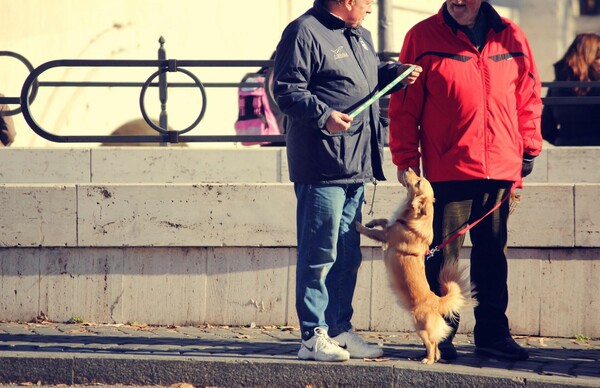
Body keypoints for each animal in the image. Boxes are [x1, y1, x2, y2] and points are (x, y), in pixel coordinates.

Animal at [354, 167, 476, 364]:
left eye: (418, 182)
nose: (409, 168)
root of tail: (436, 300)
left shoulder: (386, 237)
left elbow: (372, 232)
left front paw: (358, 225)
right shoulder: (389, 226)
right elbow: (383, 220)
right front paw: (372, 221)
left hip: (421, 327)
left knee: (432, 343)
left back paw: (428, 360)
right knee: (436, 343)